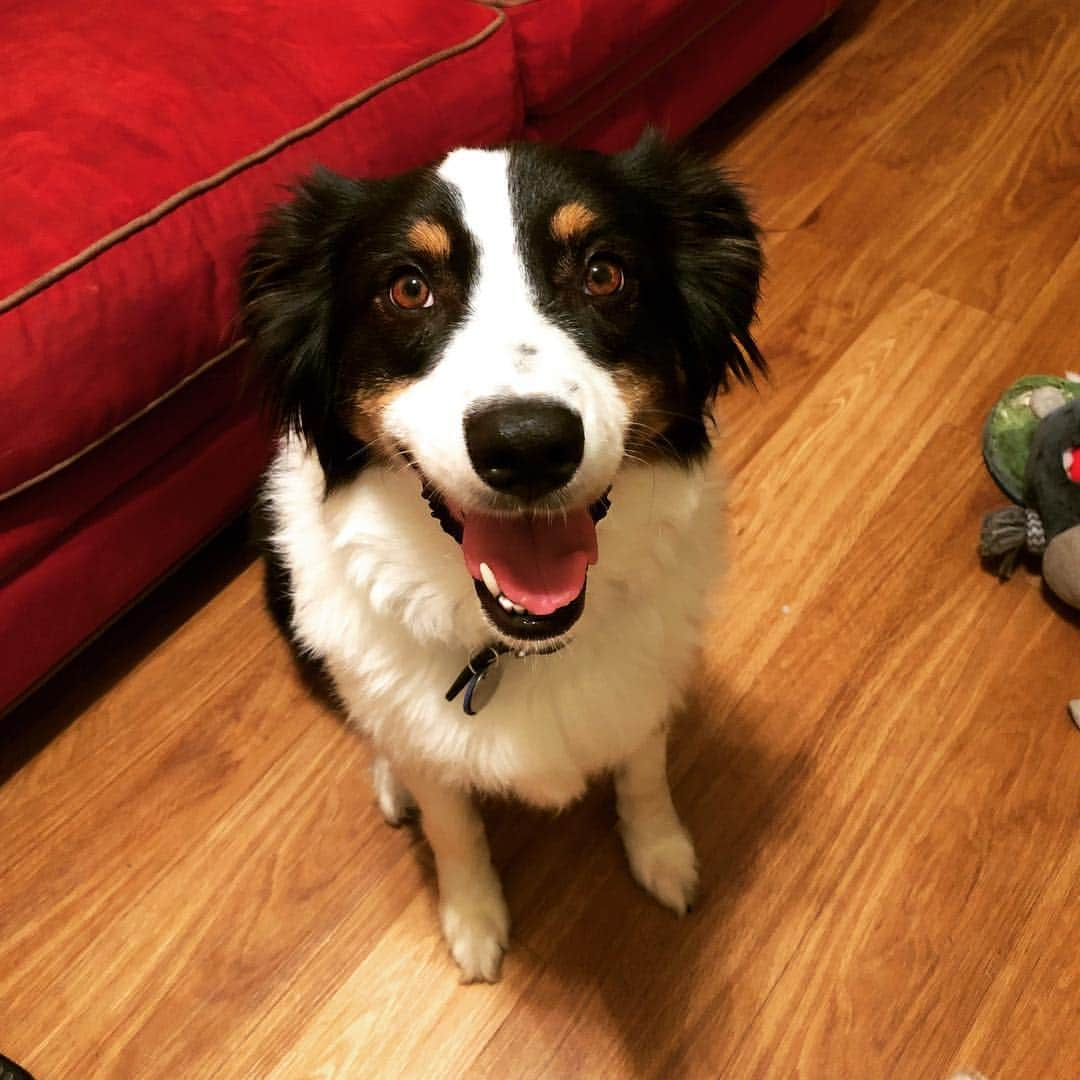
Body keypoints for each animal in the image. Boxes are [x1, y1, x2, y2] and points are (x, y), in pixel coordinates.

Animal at [240, 132, 764, 980]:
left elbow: (644, 773)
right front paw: (473, 919)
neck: (518, 650)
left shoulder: (645, 689)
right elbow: (453, 827)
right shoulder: (429, 749)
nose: (526, 446)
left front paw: (661, 855)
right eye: (408, 288)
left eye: (604, 273)